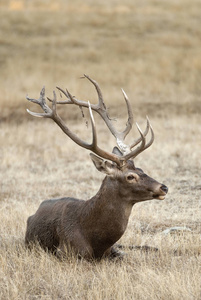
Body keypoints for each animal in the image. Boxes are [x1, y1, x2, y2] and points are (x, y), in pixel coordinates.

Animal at [24, 75, 168, 260]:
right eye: (130, 176)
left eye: (142, 170)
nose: (163, 187)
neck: (96, 239)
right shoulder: (66, 251)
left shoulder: (113, 250)